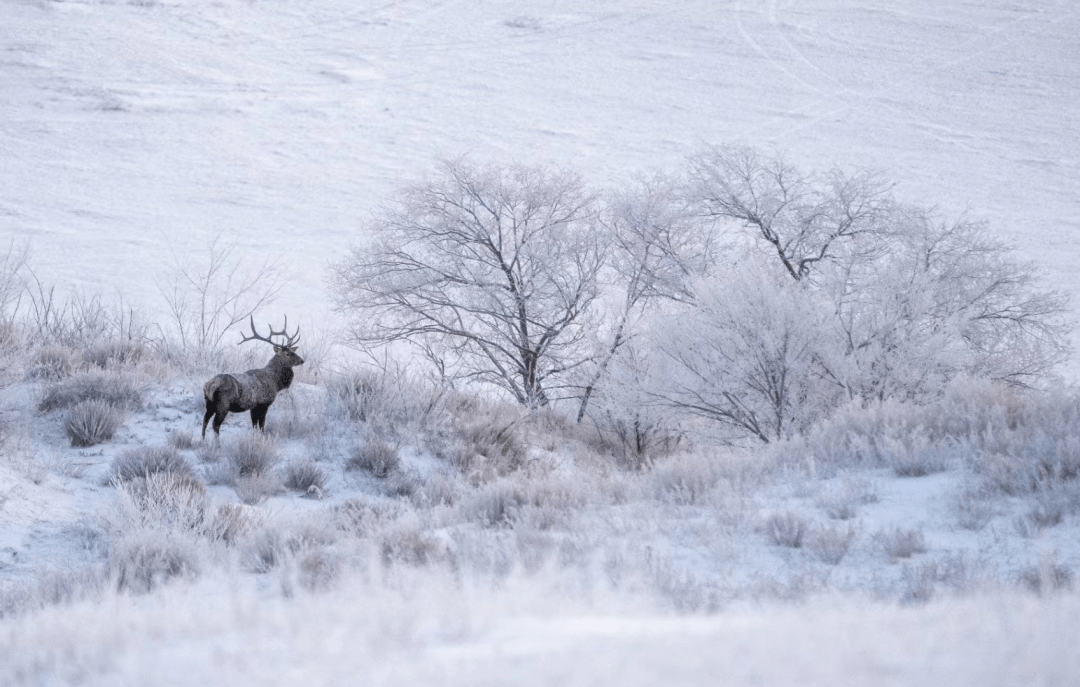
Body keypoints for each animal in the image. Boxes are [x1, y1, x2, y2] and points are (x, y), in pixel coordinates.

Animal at [200, 313, 304, 442]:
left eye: (293, 351)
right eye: (288, 354)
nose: (302, 360)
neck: (275, 382)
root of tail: (210, 385)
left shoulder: (254, 406)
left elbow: (254, 425)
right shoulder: (264, 403)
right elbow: (262, 425)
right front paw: (262, 439)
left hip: (209, 403)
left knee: (205, 420)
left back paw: (202, 440)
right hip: (223, 404)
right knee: (215, 424)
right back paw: (217, 444)